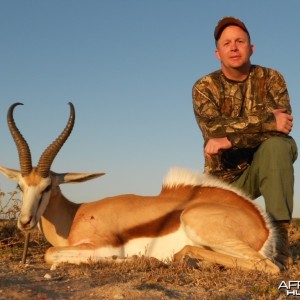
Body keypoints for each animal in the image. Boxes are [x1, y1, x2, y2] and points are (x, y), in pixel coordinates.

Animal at [0, 103, 286, 274]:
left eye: (47, 186)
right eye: (20, 185)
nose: (24, 222)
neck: (75, 216)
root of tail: (263, 227)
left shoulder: (103, 245)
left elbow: (50, 254)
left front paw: (137, 259)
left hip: (196, 222)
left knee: (270, 267)